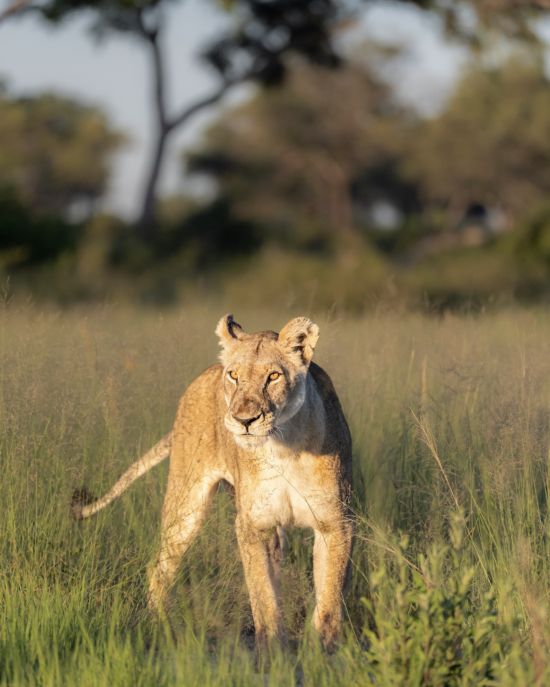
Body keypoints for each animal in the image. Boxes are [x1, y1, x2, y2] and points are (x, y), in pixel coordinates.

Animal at [72, 314, 354, 652]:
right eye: (233, 375)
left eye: (273, 376)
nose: (245, 420)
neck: (284, 444)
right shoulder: (250, 525)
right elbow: (262, 596)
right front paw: (273, 651)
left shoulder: (336, 522)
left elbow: (329, 597)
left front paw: (322, 652)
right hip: (185, 505)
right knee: (160, 568)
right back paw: (160, 629)